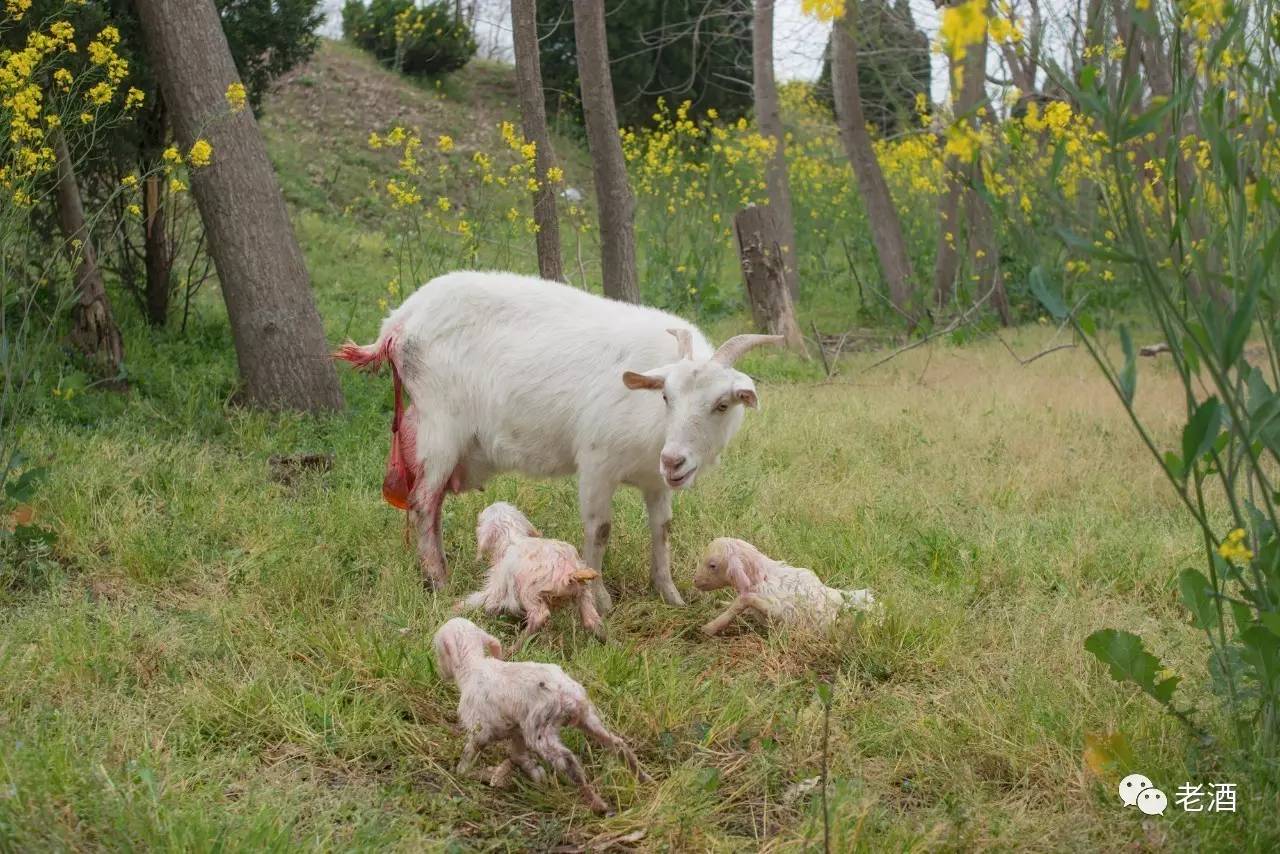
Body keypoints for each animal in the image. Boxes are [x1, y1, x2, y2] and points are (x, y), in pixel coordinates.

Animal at [337, 270, 778, 612]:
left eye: (722, 404)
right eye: (666, 396)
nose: (675, 460)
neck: (655, 423)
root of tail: (398, 321)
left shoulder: (655, 481)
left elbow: (662, 530)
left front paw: (669, 594)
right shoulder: (597, 464)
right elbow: (600, 531)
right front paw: (600, 598)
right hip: (440, 425)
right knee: (423, 504)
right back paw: (440, 580)